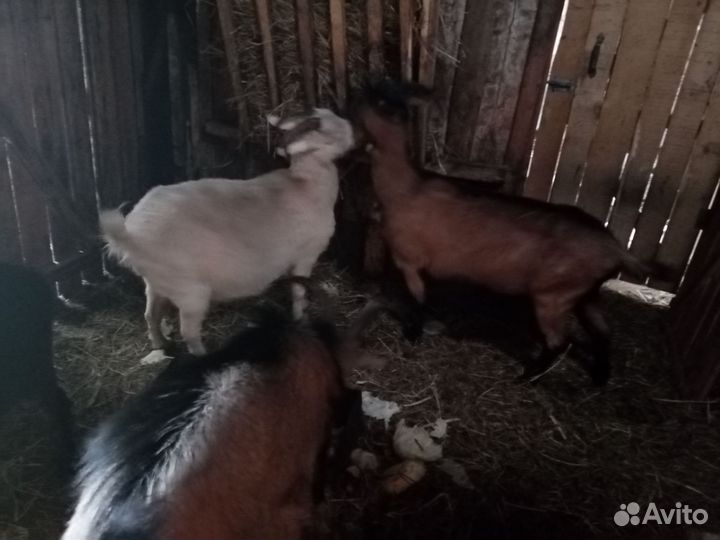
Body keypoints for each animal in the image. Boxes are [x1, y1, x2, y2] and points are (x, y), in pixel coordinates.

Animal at [99, 108, 355, 356]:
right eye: (329, 127)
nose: (352, 129)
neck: (305, 182)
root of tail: (130, 235)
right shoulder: (306, 255)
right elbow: (299, 292)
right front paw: (301, 318)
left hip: (155, 283)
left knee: (151, 315)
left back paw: (160, 344)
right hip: (190, 291)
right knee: (188, 332)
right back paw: (201, 354)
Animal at [354, 81, 651, 385]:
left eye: (379, 98)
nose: (358, 91)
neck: (405, 188)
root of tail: (617, 249)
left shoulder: (409, 260)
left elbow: (417, 300)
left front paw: (413, 334)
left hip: (553, 296)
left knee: (560, 342)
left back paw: (527, 377)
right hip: (585, 293)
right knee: (603, 332)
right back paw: (600, 379)